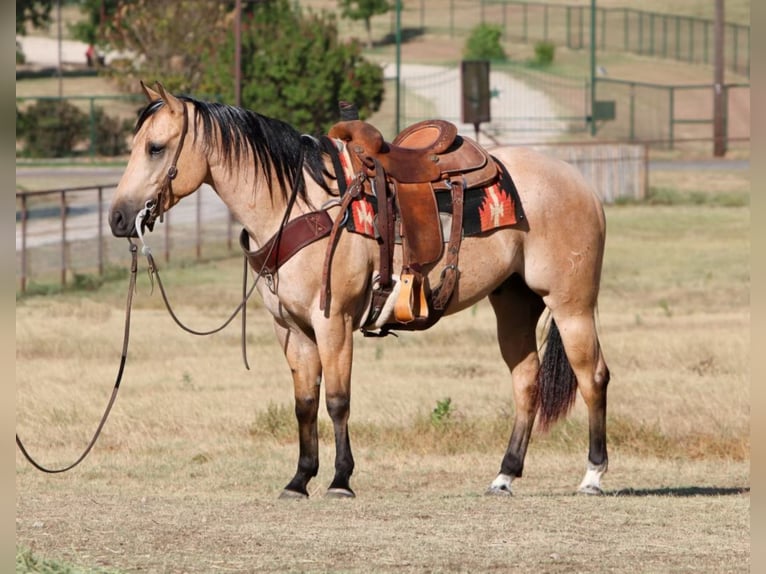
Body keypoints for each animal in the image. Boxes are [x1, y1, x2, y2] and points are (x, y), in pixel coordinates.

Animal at [109, 83, 612, 502]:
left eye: (156, 148)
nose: (117, 218)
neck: (302, 204)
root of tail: (583, 185)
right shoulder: (292, 330)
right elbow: (304, 404)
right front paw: (299, 480)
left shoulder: (333, 322)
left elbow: (337, 400)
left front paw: (340, 480)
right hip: (513, 302)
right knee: (526, 381)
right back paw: (504, 476)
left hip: (571, 304)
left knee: (593, 377)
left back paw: (592, 476)